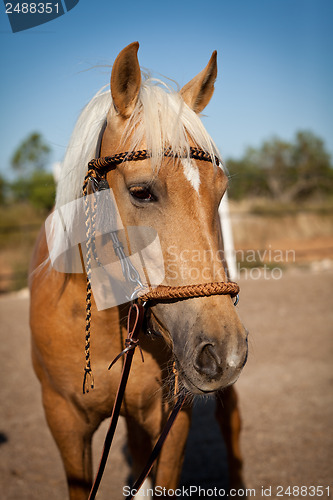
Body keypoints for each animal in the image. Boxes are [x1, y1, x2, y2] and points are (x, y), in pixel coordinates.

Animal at [29, 41, 248, 498]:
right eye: (141, 192)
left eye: (220, 191)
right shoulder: (64, 423)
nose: (224, 351)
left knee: (230, 420)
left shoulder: (172, 416)